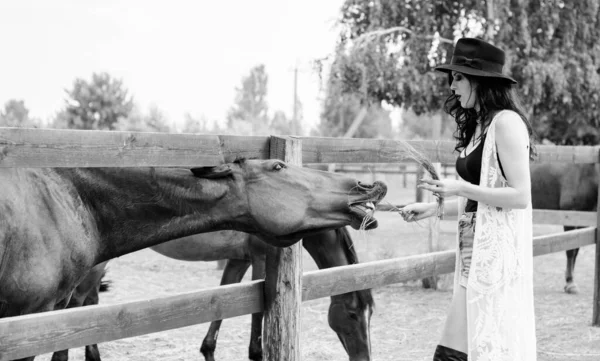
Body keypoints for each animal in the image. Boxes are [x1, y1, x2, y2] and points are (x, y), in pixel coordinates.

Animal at [0, 160, 386, 360]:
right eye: (353, 315)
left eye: (371, 315)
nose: (369, 187)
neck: (67, 200)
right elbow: (258, 311)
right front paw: (255, 353)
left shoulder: (238, 259)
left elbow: (225, 297)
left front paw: (208, 349)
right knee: (83, 304)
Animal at [532, 162, 596, 294]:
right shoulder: (569, 216)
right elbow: (570, 251)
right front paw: (570, 283)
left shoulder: (584, 220)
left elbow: (576, 249)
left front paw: (569, 282)